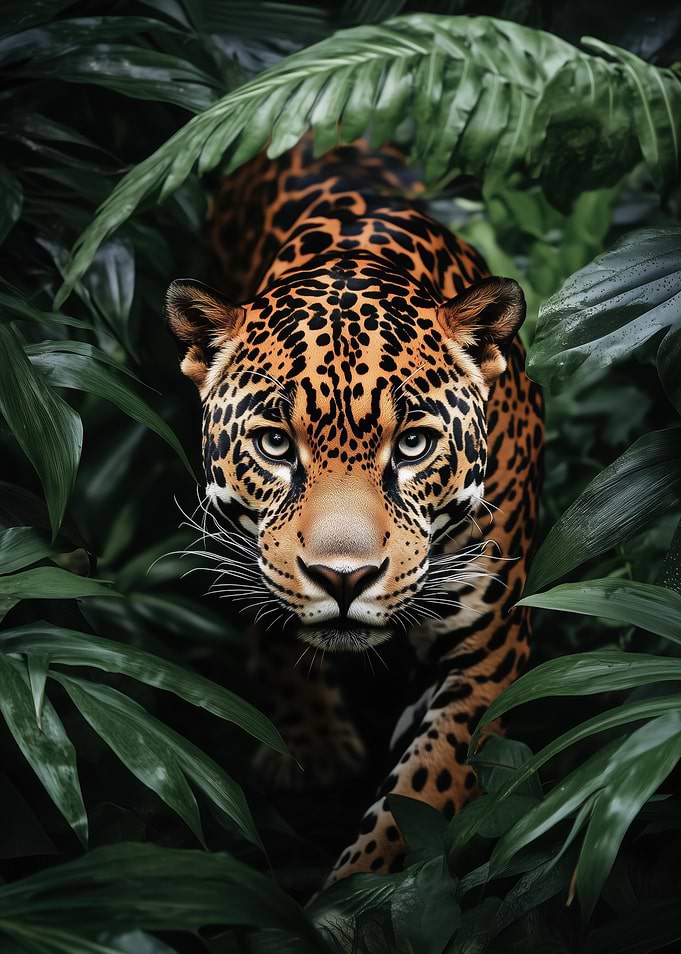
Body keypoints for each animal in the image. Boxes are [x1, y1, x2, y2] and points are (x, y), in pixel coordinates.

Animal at [163, 139, 544, 885]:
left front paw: (354, 895)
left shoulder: (489, 655)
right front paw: (312, 745)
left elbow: (422, 796)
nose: (344, 579)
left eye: (415, 444)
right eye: (275, 445)